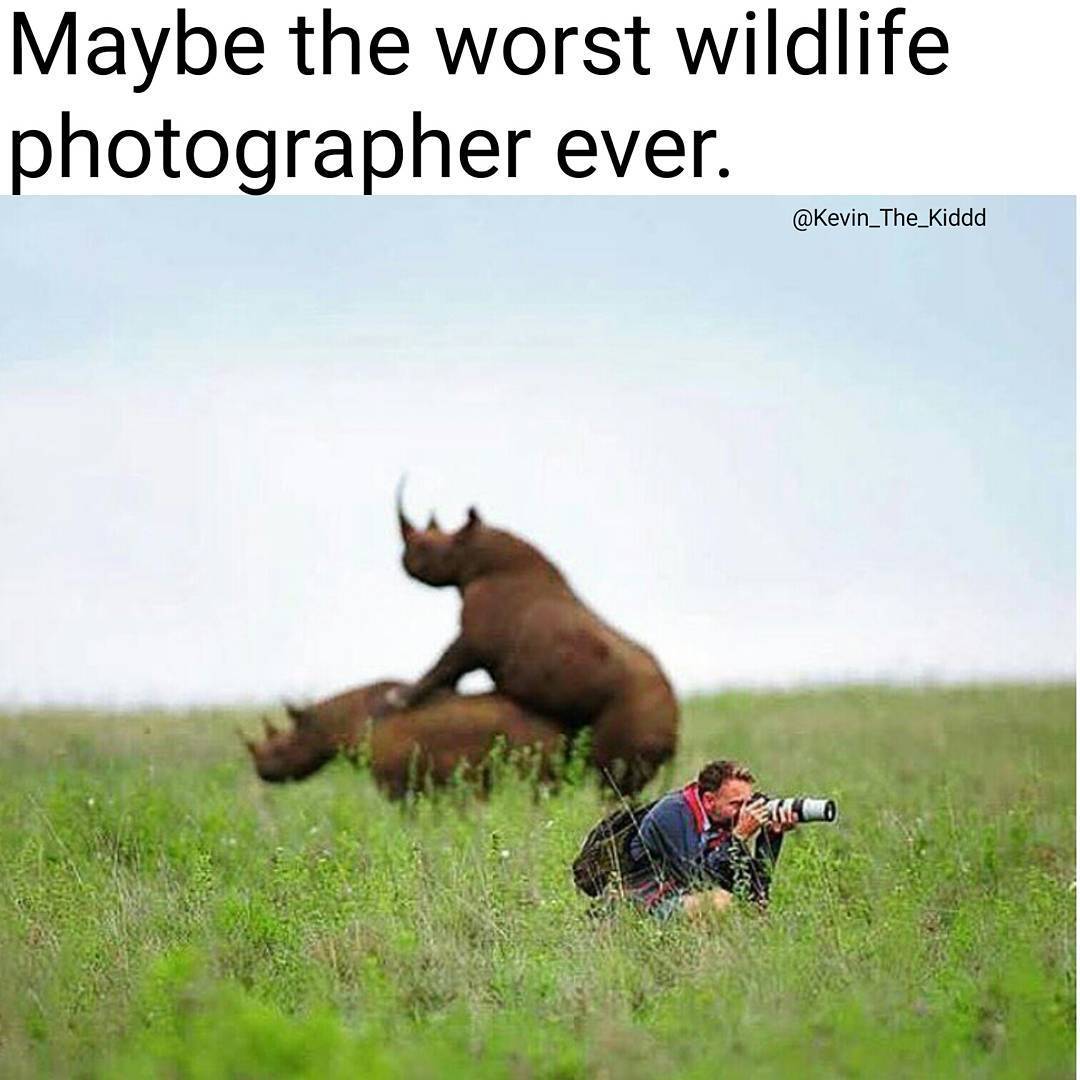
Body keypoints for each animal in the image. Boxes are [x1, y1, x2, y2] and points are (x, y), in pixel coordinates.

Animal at [393, 490, 678, 794]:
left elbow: (446, 663)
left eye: (424, 548)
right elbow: (449, 670)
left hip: (637, 708)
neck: (472, 552)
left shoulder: (475, 637)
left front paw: (399, 699)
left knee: (609, 775)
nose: (405, 560)